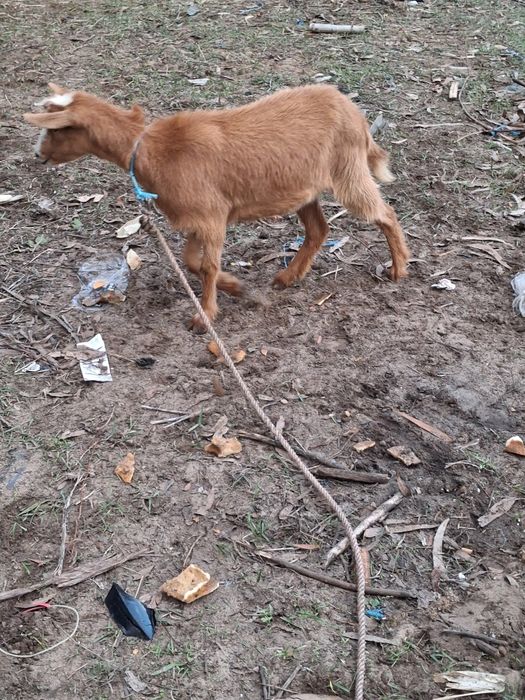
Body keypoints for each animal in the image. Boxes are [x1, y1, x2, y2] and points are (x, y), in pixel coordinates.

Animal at [24, 82, 409, 331]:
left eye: (56, 130)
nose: (37, 155)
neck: (150, 149)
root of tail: (355, 114)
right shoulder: (196, 218)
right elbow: (191, 262)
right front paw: (240, 288)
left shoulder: (211, 216)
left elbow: (207, 267)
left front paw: (205, 316)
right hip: (306, 189)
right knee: (318, 229)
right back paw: (286, 278)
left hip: (348, 169)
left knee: (384, 214)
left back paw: (398, 268)